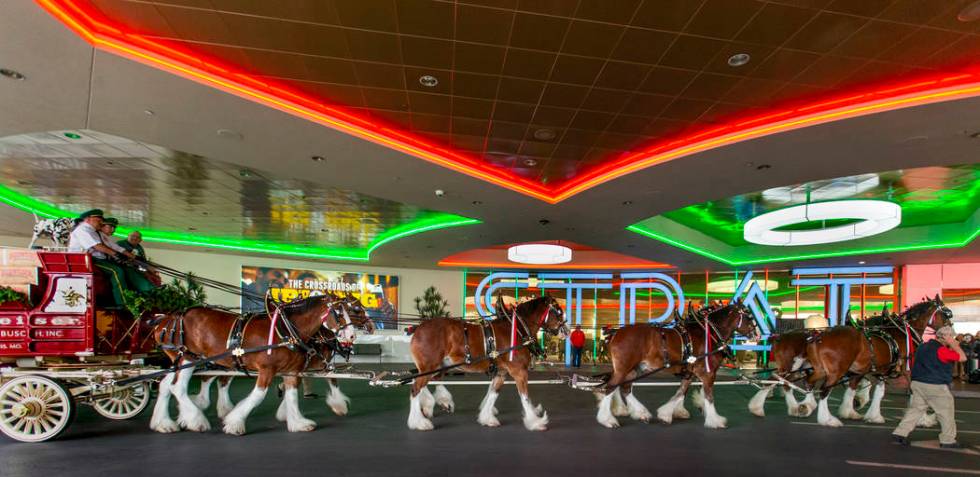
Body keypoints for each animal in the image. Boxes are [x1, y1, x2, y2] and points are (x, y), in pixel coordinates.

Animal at [147, 292, 354, 434]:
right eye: (338, 312)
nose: (352, 336)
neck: (285, 330)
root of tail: (166, 318)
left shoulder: (292, 370)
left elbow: (292, 395)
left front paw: (297, 422)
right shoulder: (267, 369)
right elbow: (258, 396)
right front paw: (234, 423)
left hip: (182, 361)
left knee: (166, 385)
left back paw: (163, 423)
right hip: (188, 358)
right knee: (178, 387)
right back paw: (196, 419)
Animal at [406, 296, 568, 430]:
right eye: (559, 312)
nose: (566, 331)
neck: (518, 328)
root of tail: (418, 328)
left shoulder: (501, 372)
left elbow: (493, 393)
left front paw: (487, 418)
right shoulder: (519, 372)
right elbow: (524, 397)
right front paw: (535, 422)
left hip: (437, 366)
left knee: (427, 382)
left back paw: (436, 404)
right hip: (430, 366)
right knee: (415, 389)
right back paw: (419, 422)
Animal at [596, 302, 756, 428]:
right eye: (749, 317)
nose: (756, 335)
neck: (708, 332)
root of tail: (615, 333)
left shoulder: (690, 373)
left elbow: (681, 392)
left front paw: (667, 414)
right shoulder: (708, 374)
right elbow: (709, 397)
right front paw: (715, 421)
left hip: (633, 369)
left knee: (625, 388)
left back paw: (641, 413)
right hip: (623, 368)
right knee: (610, 387)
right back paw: (608, 420)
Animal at [800, 296, 952, 426]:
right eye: (947, 314)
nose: (950, 333)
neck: (901, 333)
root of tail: (819, 337)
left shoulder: (879, 371)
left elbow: (874, 392)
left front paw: (865, 414)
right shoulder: (907, 370)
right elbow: (915, 394)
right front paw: (924, 419)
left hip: (822, 369)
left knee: (809, 382)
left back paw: (805, 406)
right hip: (836, 371)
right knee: (824, 391)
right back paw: (826, 419)